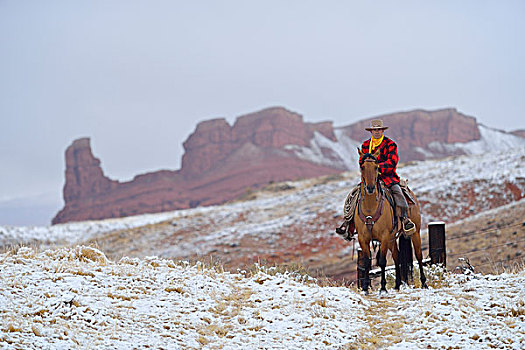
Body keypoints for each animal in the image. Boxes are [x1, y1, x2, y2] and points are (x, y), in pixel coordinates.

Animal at [352, 148, 426, 292]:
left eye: (376, 167)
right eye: (362, 167)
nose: (370, 188)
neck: (370, 209)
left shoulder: (384, 237)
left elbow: (382, 261)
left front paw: (382, 288)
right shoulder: (363, 238)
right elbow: (367, 262)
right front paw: (365, 288)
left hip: (415, 233)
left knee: (419, 255)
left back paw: (424, 283)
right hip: (392, 239)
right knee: (397, 256)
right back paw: (397, 285)